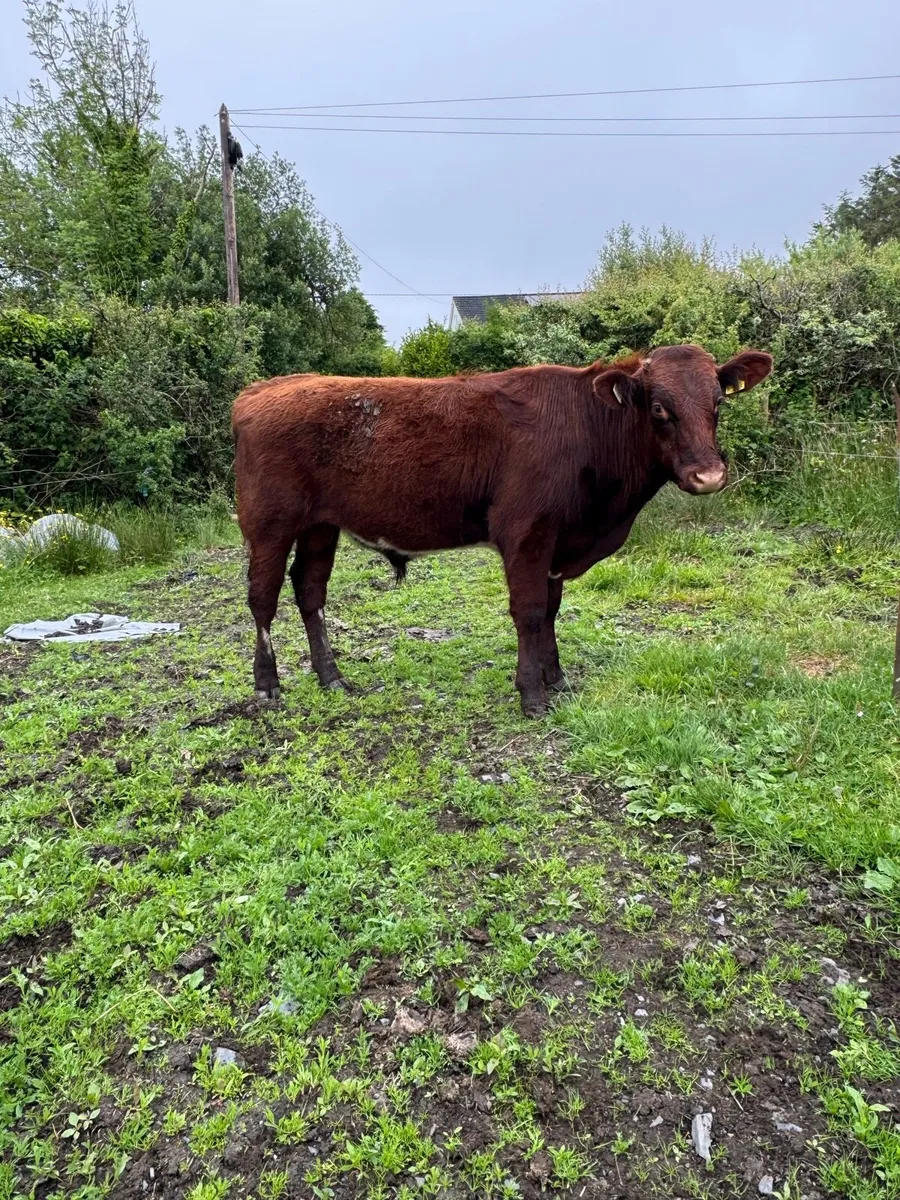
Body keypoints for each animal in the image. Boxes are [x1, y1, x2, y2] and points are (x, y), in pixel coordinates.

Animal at [232, 344, 772, 716]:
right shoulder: (526, 533)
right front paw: (532, 693)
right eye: (659, 407)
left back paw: (332, 677)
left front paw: (556, 677)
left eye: (718, 403)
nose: (708, 476)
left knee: (310, 592)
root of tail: (261, 389)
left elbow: (551, 610)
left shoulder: (559, 541)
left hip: (320, 525)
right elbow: (529, 612)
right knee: (263, 598)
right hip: (269, 524)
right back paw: (267, 685)